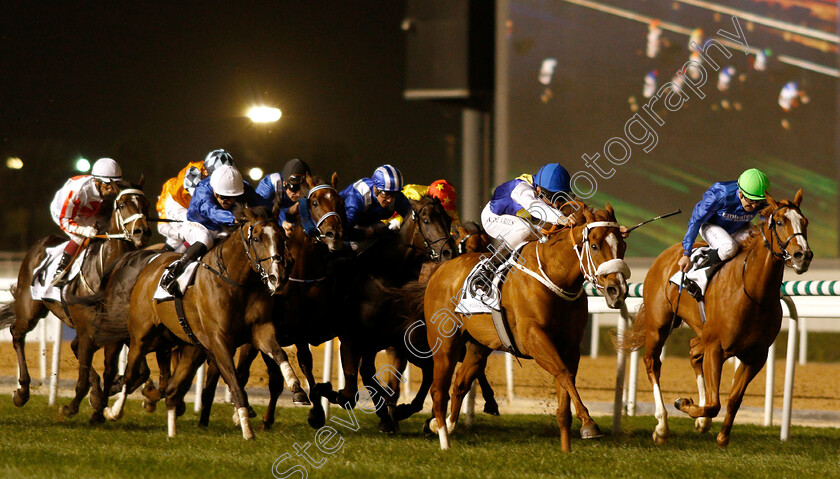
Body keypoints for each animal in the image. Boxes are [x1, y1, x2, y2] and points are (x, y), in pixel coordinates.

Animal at [0, 181, 149, 424]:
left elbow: (129, 372)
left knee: (74, 347)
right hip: (30, 309)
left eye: (146, 204)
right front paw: (76, 405)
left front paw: (102, 400)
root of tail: (40, 244)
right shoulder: (89, 330)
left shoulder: (117, 333)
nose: (142, 231)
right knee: (17, 334)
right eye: (122, 205)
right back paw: (22, 391)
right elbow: (85, 373)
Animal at [106, 204, 294, 440]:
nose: (278, 277)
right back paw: (114, 411)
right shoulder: (220, 341)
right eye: (257, 238)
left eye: (282, 237)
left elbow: (280, 354)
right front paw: (247, 430)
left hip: (190, 347)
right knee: (131, 375)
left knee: (172, 391)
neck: (237, 282)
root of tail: (151, 263)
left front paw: (297, 386)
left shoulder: (261, 330)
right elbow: (235, 384)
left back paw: (172, 432)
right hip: (142, 335)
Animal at [424, 204, 628, 452]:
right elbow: (563, 373)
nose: (617, 291)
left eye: (623, 246)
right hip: (445, 344)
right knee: (439, 391)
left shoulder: (569, 346)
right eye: (595, 246)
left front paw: (566, 449)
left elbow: (565, 383)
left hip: (478, 347)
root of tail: (442, 268)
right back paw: (444, 440)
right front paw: (589, 424)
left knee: (460, 384)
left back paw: (446, 426)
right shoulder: (533, 338)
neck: (554, 276)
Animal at [620, 189, 812, 448]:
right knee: (653, 363)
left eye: (805, 222)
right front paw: (685, 404)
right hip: (658, 325)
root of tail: (667, 254)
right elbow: (713, 404)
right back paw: (662, 426)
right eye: (780, 222)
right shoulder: (716, 347)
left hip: (702, 330)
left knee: (693, 350)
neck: (753, 292)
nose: (803, 256)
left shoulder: (756, 356)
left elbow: (732, 399)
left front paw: (721, 435)